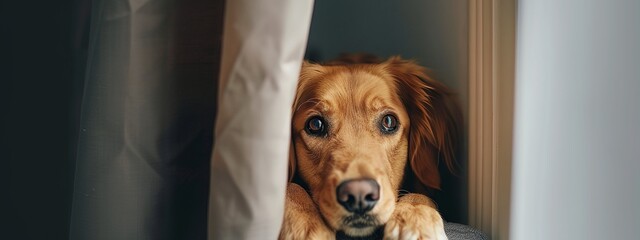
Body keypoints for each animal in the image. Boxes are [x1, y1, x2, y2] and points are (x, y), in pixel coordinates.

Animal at [280, 54, 460, 240]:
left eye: (389, 121)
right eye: (315, 124)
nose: (358, 195)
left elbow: (421, 196)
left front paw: (416, 221)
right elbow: (290, 187)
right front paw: (305, 225)